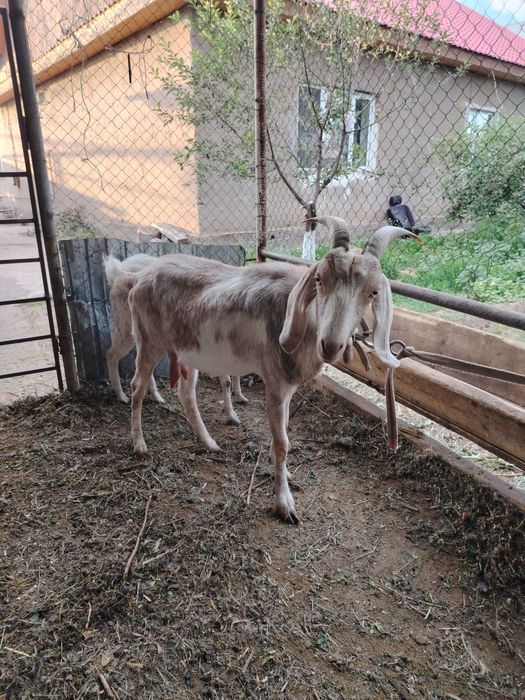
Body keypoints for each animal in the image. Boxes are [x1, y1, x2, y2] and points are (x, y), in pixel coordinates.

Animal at [104, 253, 248, 425]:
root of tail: (118, 271)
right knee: (112, 354)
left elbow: (231, 378)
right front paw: (232, 414)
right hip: (125, 327)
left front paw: (237, 402)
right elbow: (226, 380)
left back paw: (156, 396)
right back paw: (121, 395)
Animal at [124, 218, 419, 523]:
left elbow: (285, 430)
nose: (330, 345)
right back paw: (140, 444)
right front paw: (285, 504)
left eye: (373, 292)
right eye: (319, 279)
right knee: (137, 386)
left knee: (186, 394)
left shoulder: (288, 388)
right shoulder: (275, 382)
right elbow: (282, 442)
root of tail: (140, 278)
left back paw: (209, 442)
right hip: (148, 340)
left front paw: (284, 473)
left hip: (188, 351)